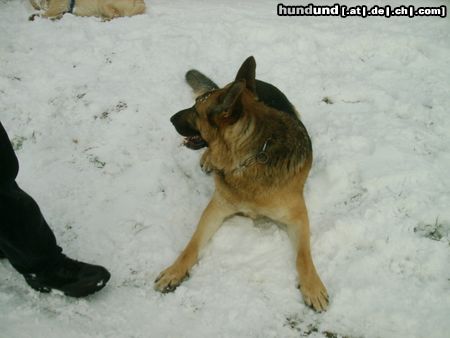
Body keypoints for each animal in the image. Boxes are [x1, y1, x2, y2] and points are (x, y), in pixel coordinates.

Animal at [155, 56, 326, 312]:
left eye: (195, 110)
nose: (170, 118)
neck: (250, 156)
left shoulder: (297, 216)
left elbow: (303, 255)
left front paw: (313, 287)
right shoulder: (216, 208)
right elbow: (191, 246)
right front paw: (174, 271)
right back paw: (208, 159)